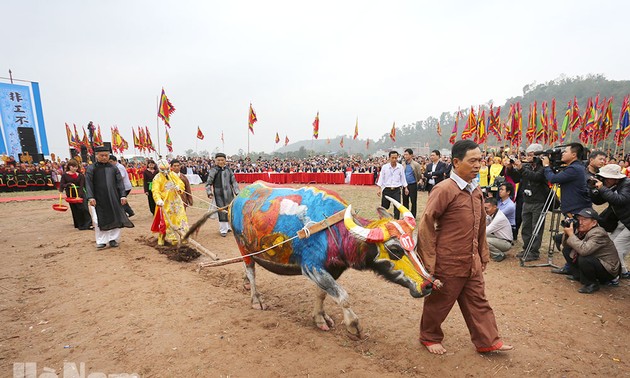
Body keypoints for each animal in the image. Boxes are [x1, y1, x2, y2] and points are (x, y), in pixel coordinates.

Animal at [230, 182, 436, 338]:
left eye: (414, 245)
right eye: (394, 249)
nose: (428, 285)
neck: (332, 231)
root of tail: (235, 200)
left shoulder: (330, 270)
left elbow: (322, 294)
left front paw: (320, 318)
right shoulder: (311, 267)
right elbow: (343, 296)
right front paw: (353, 325)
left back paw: (245, 284)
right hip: (243, 247)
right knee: (251, 271)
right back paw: (256, 299)